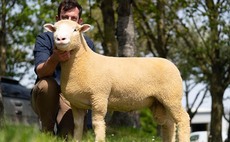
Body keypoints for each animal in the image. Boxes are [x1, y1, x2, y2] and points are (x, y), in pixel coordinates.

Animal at [43, 19, 190, 141]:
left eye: (75, 29)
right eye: (54, 29)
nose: (60, 39)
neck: (85, 62)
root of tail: (171, 64)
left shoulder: (99, 96)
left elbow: (98, 123)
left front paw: (100, 140)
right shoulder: (76, 104)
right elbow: (77, 126)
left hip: (172, 96)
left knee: (183, 119)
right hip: (159, 102)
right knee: (168, 124)